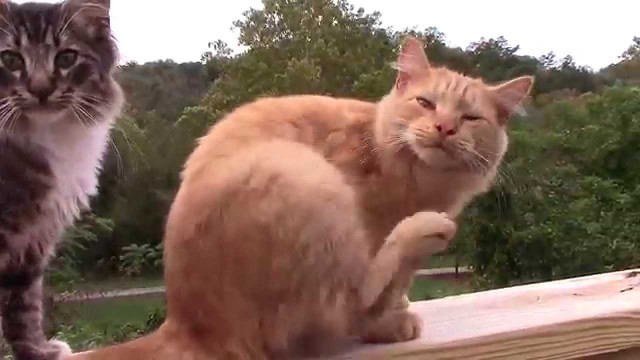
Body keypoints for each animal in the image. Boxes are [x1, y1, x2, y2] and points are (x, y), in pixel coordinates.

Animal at [0, 1, 122, 358]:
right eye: (10, 60)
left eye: (66, 58)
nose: (40, 89)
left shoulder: (32, 241)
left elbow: (23, 307)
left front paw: (37, 351)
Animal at [65, 36, 536, 360]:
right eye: (425, 103)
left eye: (470, 118)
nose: (444, 129)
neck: (421, 182)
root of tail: (186, 323)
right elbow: (379, 294)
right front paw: (392, 319)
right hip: (308, 180)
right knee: (352, 302)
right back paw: (422, 238)